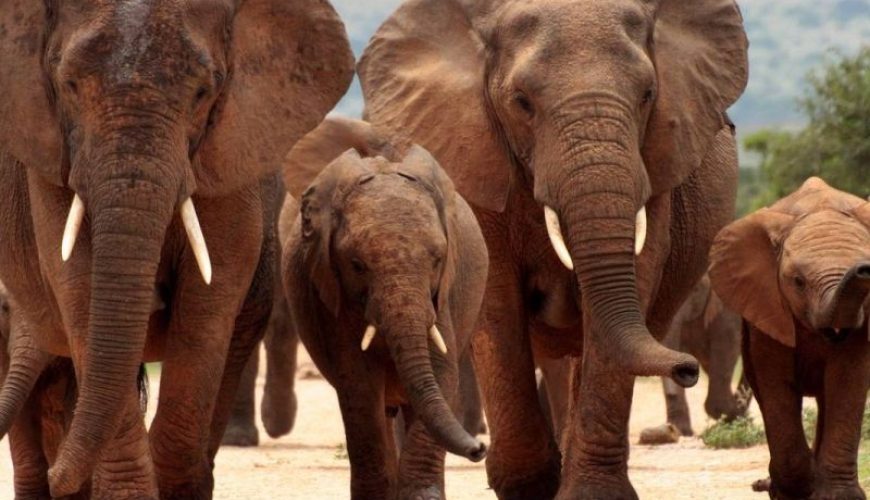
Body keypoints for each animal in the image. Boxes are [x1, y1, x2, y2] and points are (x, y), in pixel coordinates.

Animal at [0, 1, 353, 497]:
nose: (59, 478)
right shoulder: (52, 159)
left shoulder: (228, 156)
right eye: (68, 85)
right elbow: (80, 293)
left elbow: (208, 304)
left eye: (204, 92)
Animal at [281, 117, 489, 499]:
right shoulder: (330, 292)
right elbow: (358, 383)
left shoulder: (445, 295)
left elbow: (442, 371)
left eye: (437, 260)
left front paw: (423, 498)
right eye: (357, 265)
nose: (480, 448)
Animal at [358, 0, 748, 497]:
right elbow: (496, 300)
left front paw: (592, 494)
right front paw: (529, 487)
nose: (686, 368)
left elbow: (632, 284)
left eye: (647, 95)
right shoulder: (474, 160)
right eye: (522, 102)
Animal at [710, 177, 870, 500]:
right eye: (798, 282)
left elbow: (847, 380)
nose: (863, 268)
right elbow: (775, 381)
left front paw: (837, 496)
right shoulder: (766, 302)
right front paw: (796, 490)